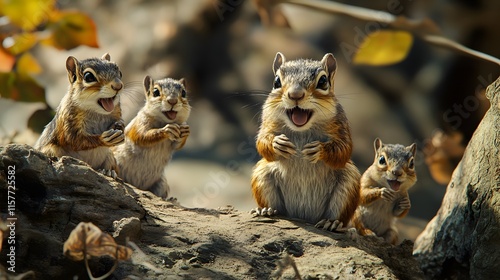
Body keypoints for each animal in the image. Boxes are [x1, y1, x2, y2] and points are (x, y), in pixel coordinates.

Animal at [252, 52, 362, 232]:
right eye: (276, 82)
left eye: (323, 81)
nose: (295, 95)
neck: (301, 130)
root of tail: (304, 216)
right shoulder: (268, 121)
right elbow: (262, 141)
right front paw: (277, 144)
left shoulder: (341, 125)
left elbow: (344, 149)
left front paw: (319, 150)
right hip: (262, 175)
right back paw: (267, 210)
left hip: (349, 183)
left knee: (339, 215)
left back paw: (331, 222)